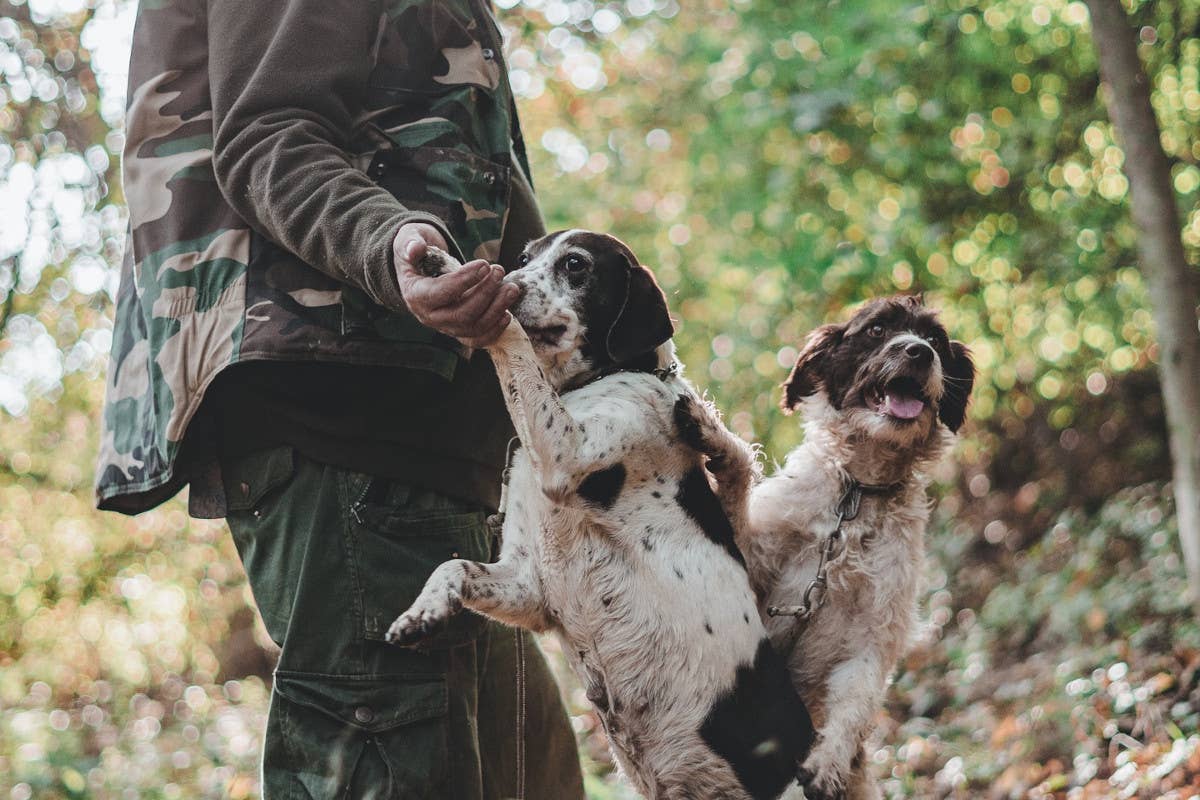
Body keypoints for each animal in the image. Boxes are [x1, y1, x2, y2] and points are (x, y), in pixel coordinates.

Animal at [388, 230, 820, 800]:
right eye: (524, 258)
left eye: (576, 265)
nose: (508, 280)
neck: (595, 384)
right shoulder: (527, 586)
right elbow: (451, 567)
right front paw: (422, 613)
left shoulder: (566, 454)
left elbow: (509, 337)